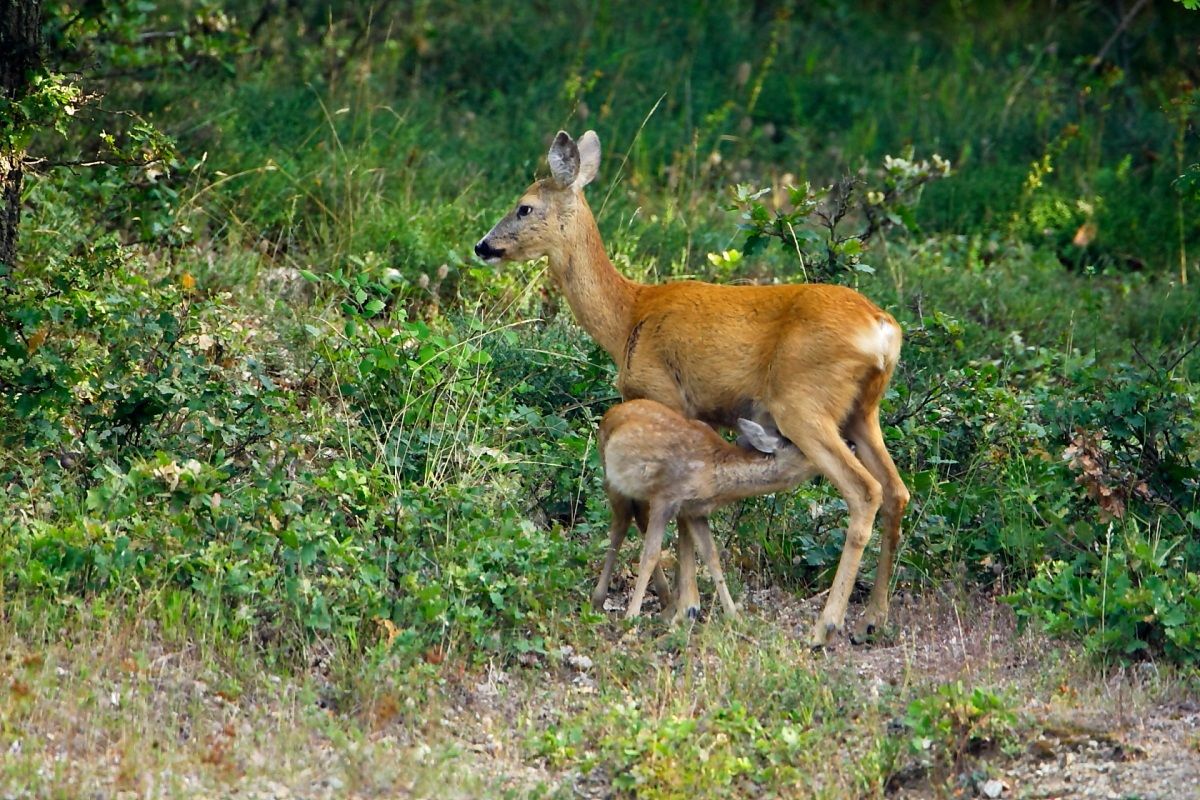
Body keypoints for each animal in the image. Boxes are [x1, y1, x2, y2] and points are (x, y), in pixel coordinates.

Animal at [598, 398, 817, 620]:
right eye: (801, 448)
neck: (711, 475)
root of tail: (611, 411)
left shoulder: (695, 510)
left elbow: (711, 555)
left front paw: (733, 615)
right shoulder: (665, 496)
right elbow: (650, 555)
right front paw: (631, 616)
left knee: (636, 519)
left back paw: (664, 598)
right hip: (612, 479)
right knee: (620, 525)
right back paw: (599, 598)